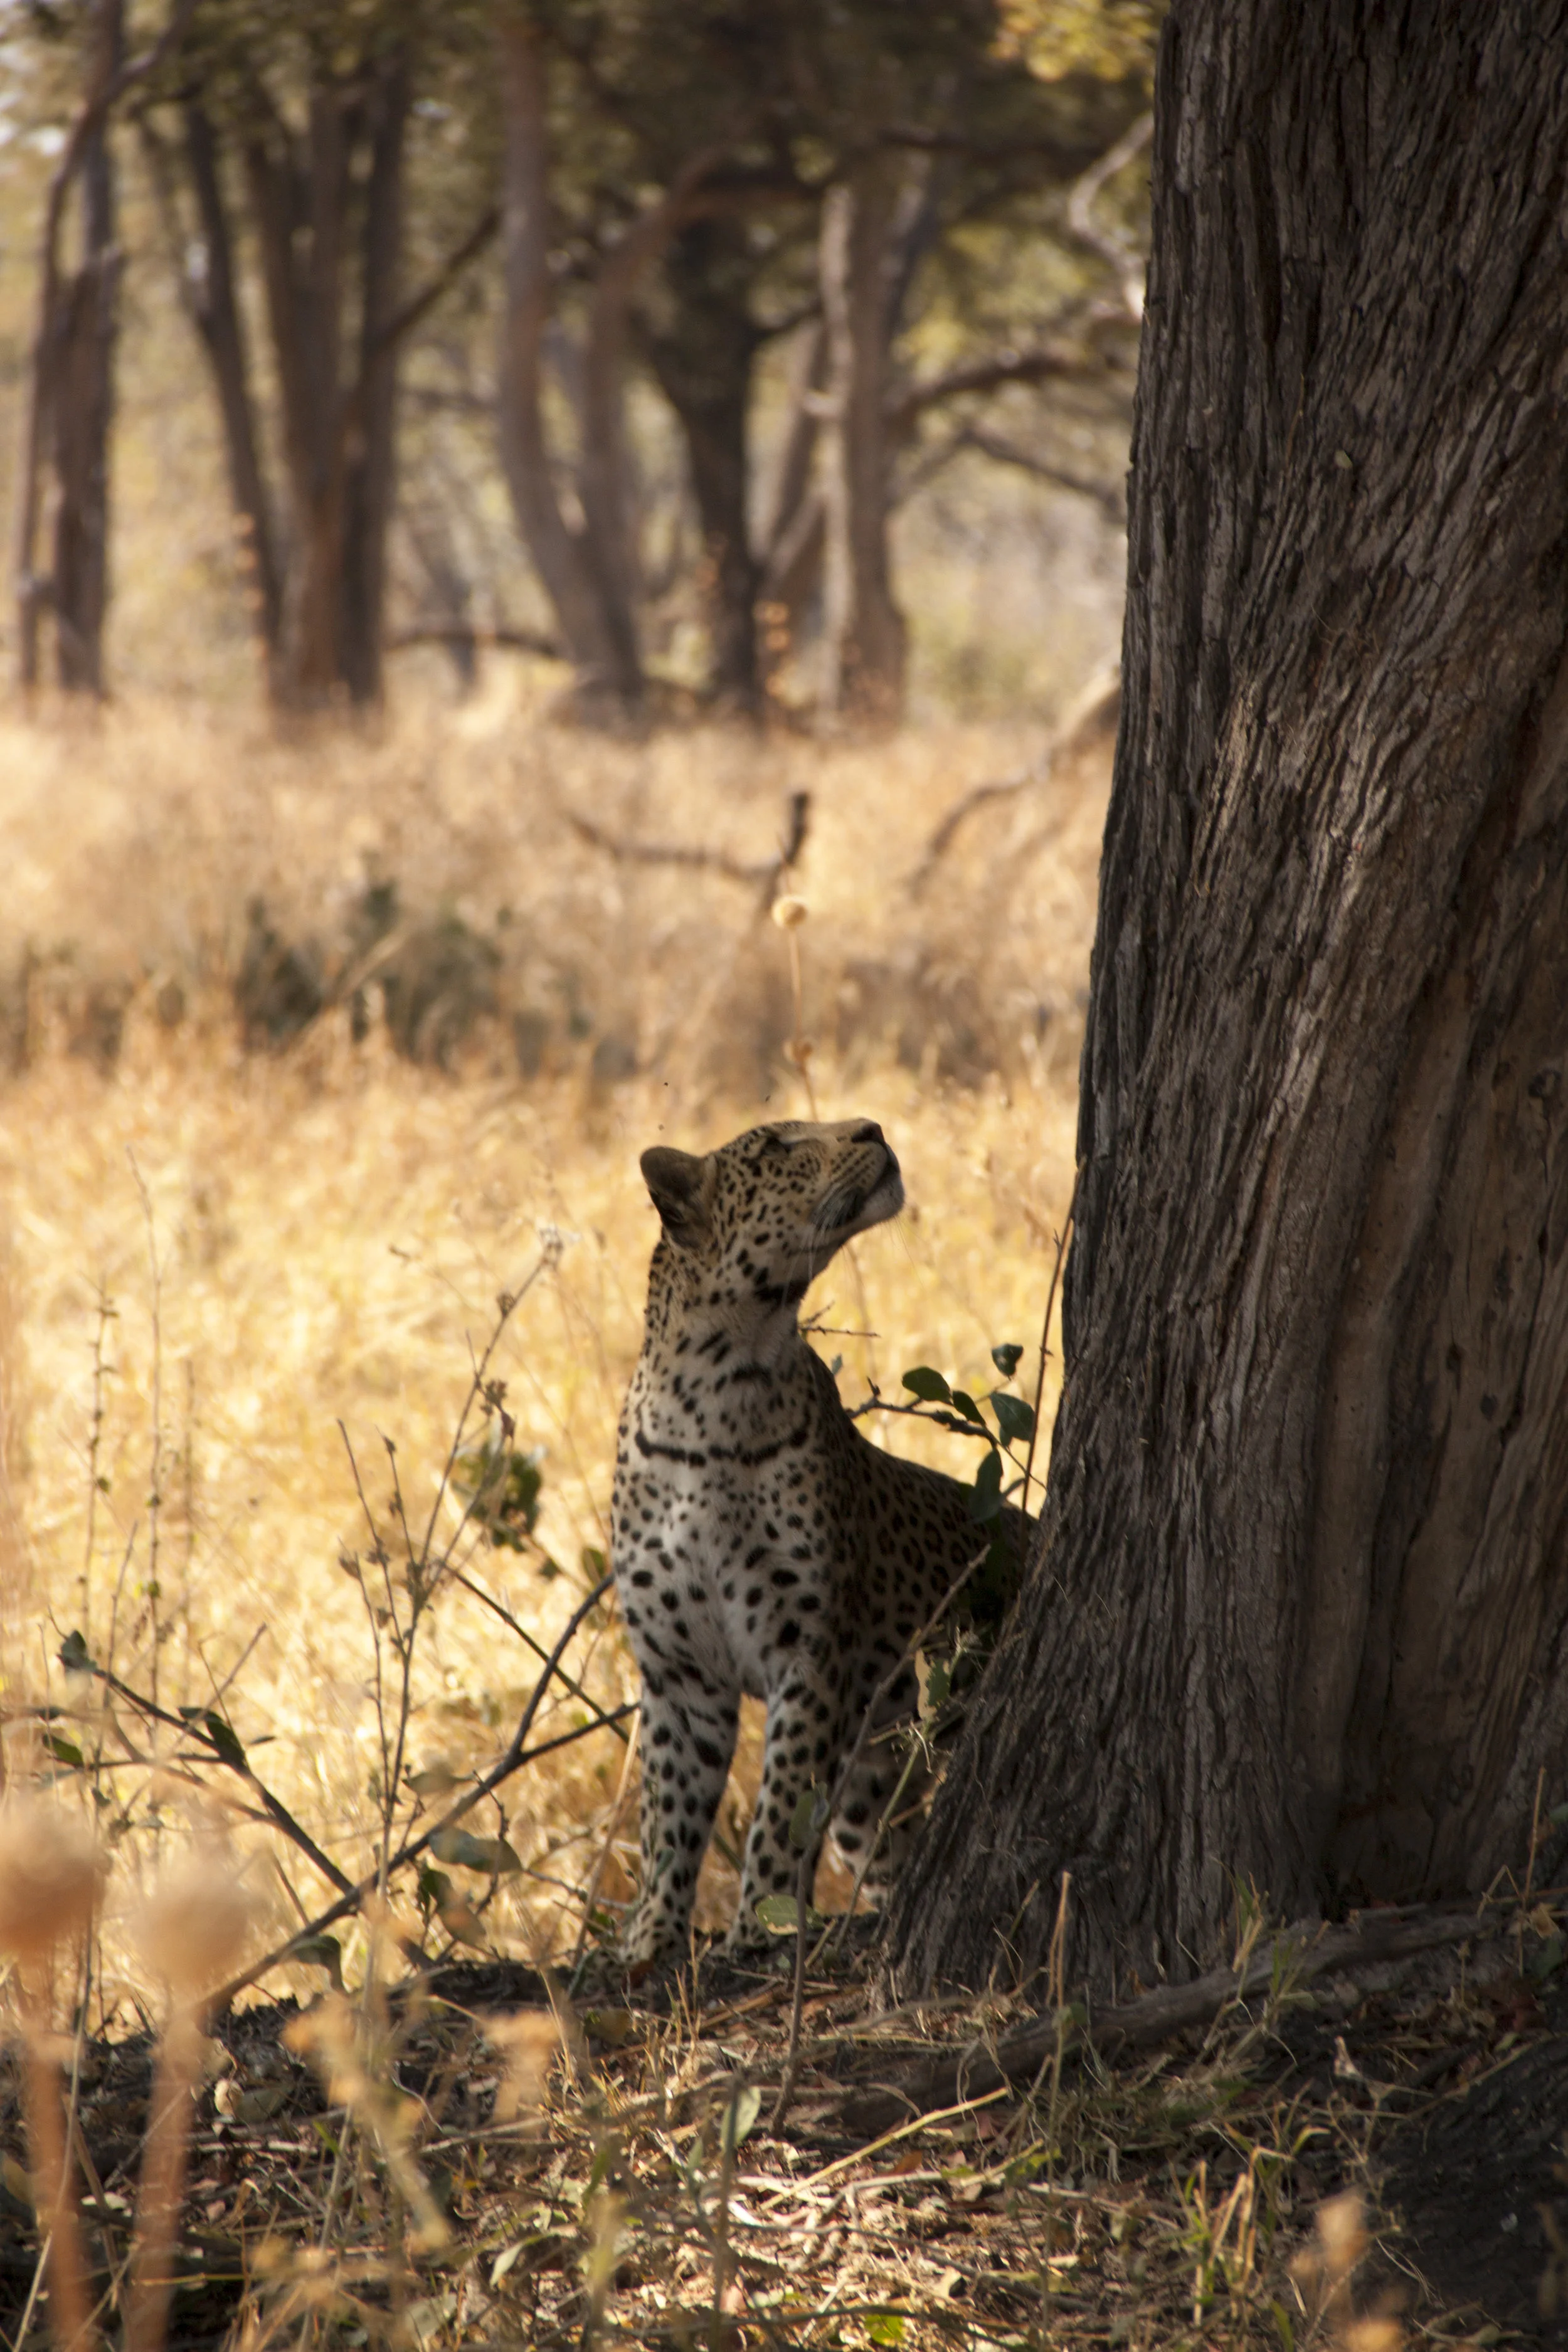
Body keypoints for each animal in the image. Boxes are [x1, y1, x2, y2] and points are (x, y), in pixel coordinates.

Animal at [611, 1116, 1029, 1966]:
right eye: (777, 1146)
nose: (873, 1125)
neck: (716, 1389)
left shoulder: (809, 1652)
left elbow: (781, 1804)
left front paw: (760, 1926)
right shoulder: (680, 1674)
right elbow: (668, 1816)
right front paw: (652, 1937)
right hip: (873, 1793)